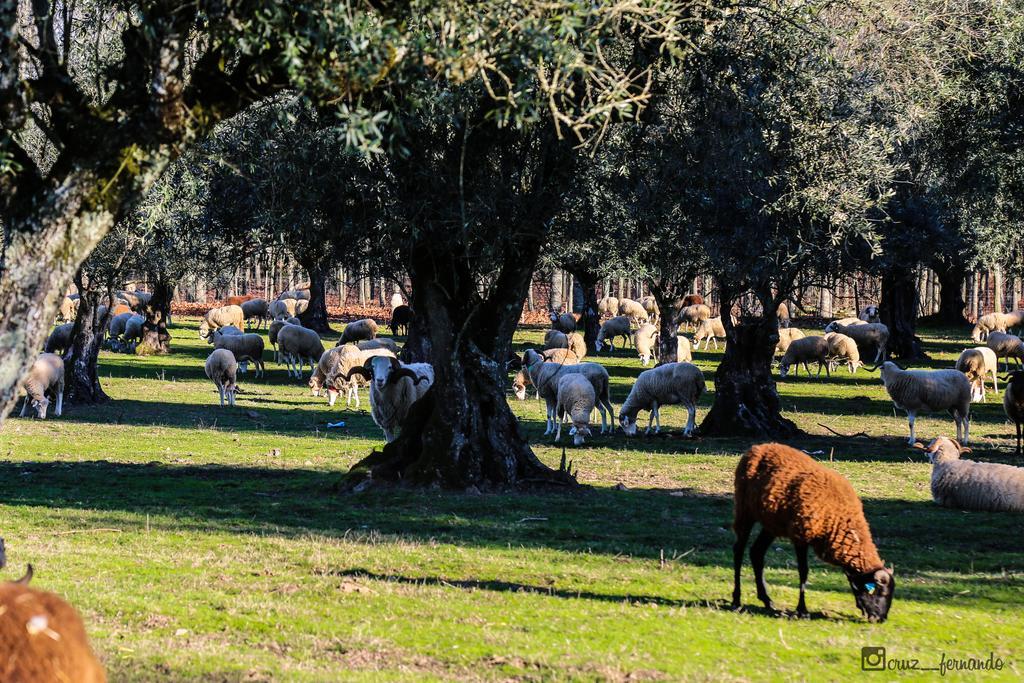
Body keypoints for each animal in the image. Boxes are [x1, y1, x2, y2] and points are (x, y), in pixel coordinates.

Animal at [733, 444, 892, 626]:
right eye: (881, 591)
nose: (881, 619)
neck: (842, 517)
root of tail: (757, 447)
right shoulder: (801, 536)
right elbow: (804, 572)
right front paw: (802, 610)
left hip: (771, 524)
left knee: (756, 552)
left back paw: (767, 600)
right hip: (745, 511)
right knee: (739, 550)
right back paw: (736, 600)